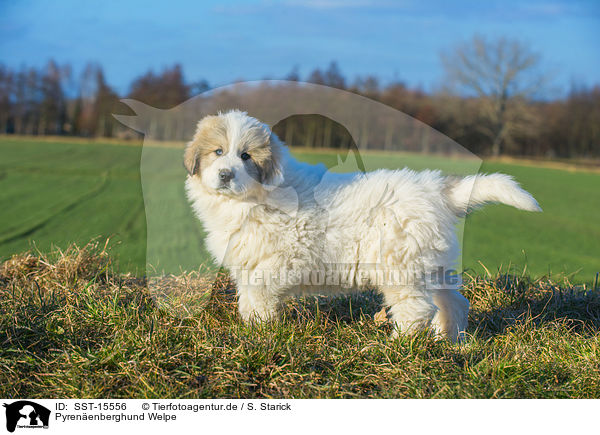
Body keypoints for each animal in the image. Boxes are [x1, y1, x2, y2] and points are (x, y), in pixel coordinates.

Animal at [183, 110, 540, 342]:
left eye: (245, 156)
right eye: (218, 152)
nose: (225, 174)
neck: (249, 199)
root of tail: (436, 190)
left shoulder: (279, 260)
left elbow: (259, 295)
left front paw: (259, 331)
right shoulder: (248, 260)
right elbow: (248, 297)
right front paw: (251, 327)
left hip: (399, 265)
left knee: (415, 308)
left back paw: (399, 345)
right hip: (431, 262)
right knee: (453, 302)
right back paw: (449, 341)